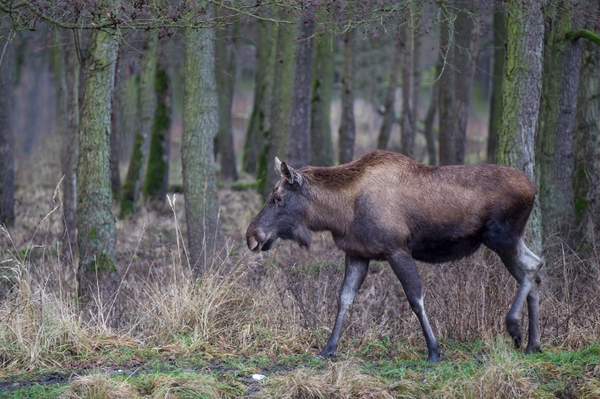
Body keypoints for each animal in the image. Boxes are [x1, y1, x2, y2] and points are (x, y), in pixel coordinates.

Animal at [245, 150, 544, 362]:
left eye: (278, 198)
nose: (252, 235)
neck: (339, 215)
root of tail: (534, 187)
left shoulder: (397, 249)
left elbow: (415, 298)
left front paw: (434, 350)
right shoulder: (357, 253)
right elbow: (344, 299)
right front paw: (328, 349)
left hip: (501, 236)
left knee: (533, 266)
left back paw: (515, 328)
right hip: (508, 239)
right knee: (536, 272)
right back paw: (533, 344)